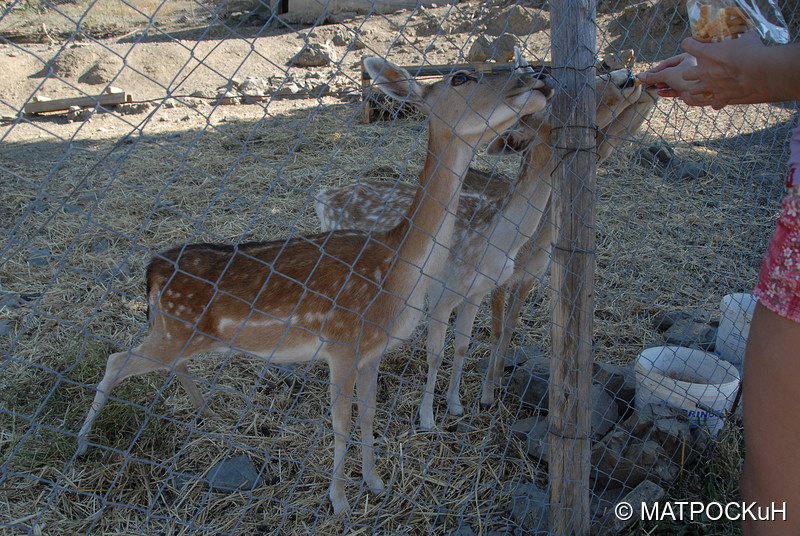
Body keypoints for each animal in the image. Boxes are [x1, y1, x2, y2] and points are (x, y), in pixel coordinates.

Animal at [76, 55, 556, 516]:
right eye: (460, 77)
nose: (537, 78)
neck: (396, 270)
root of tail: (152, 270)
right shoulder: (342, 345)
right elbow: (342, 426)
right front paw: (340, 504)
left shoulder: (371, 352)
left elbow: (369, 417)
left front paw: (376, 484)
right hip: (172, 330)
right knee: (116, 361)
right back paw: (82, 443)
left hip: (181, 335)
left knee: (160, 363)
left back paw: (204, 411)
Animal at [312, 65, 656, 428]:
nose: (627, 75)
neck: (493, 242)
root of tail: (322, 196)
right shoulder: (443, 292)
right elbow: (437, 353)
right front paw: (427, 417)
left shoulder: (476, 291)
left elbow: (463, 347)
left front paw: (455, 405)